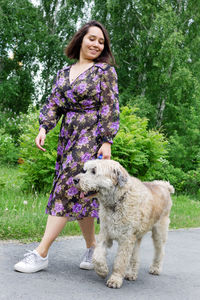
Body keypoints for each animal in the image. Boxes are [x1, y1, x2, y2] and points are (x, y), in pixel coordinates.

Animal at [74, 159, 174, 288]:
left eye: (94, 171)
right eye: (85, 170)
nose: (75, 180)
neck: (118, 200)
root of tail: (164, 185)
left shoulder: (126, 239)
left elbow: (120, 261)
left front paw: (115, 279)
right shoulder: (105, 234)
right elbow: (97, 256)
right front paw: (102, 271)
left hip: (159, 232)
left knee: (160, 251)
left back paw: (155, 268)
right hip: (136, 237)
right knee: (135, 256)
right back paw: (131, 273)